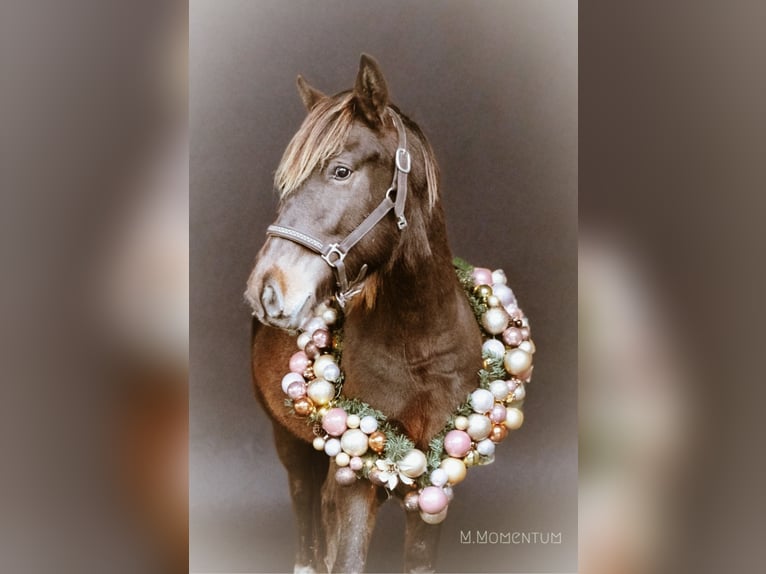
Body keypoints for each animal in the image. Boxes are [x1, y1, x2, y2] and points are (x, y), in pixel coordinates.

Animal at [248, 55, 486, 574]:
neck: (420, 346)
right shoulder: (355, 482)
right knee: (305, 510)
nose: (266, 291)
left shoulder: (437, 483)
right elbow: (346, 557)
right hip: (289, 443)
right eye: (285, 184)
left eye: (340, 171)